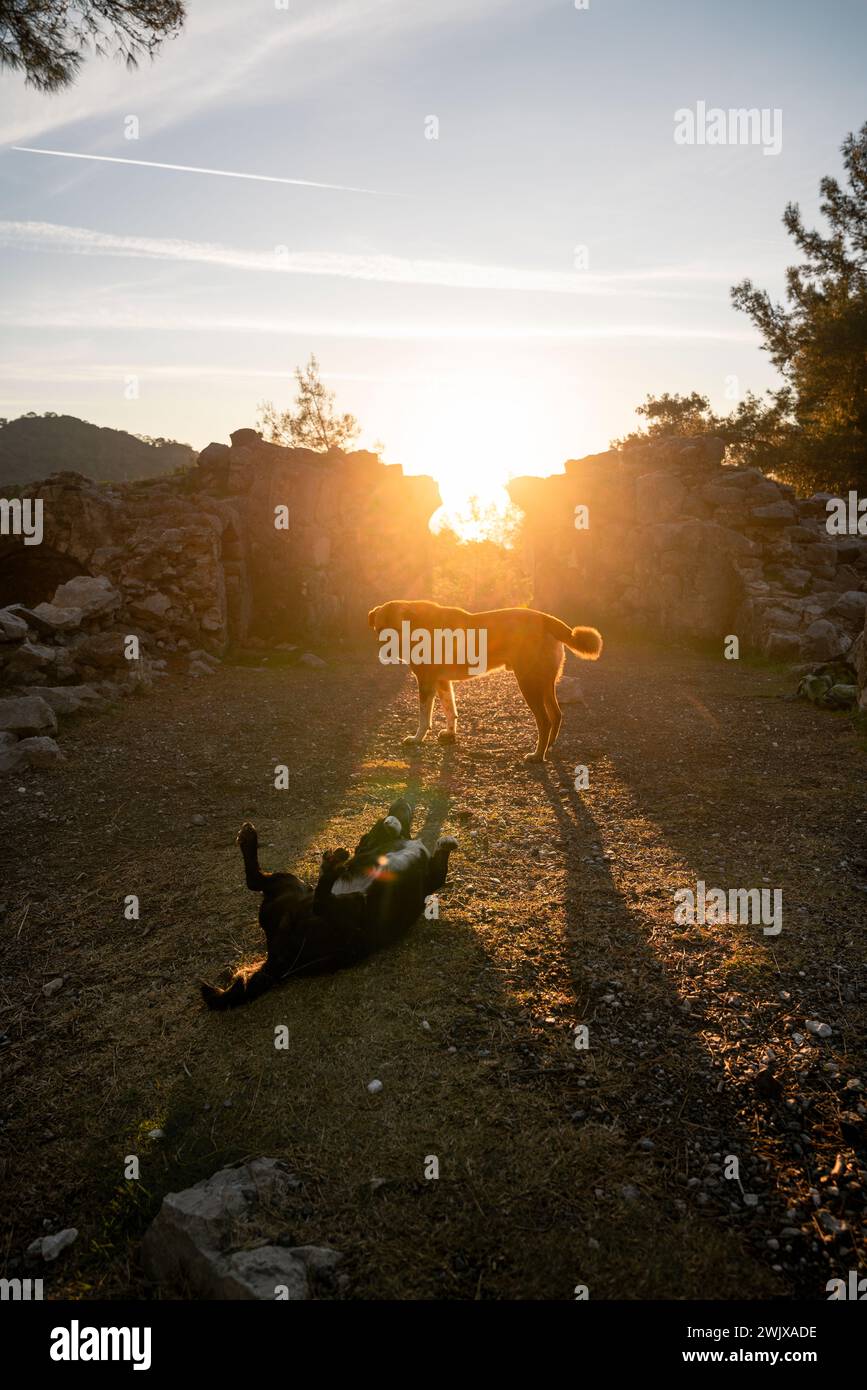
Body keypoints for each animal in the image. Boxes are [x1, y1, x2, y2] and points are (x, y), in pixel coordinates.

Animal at [200, 806, 458, 1011]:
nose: (403, 801)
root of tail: (278, 960)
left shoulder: (428, 876)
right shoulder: (383, 852)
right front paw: (393, 824)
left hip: (295, 887)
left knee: (256, 881)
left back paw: (252, 839)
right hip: (350, 906)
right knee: (319, 900)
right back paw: (330, 865)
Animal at [369, 597, 603, 767]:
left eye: (397, 630)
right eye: (380, 631)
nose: (387, 653)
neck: (419, 625)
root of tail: (547, 619)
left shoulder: (426, 682)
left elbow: (424, 717)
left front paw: (417, 738)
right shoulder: (442, 681)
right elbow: (450, 710)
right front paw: (450, 734)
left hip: (529, 684)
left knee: (544, 721)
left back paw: (537, 755)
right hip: (545, 683)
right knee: (556, 715)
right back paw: (549, 747)